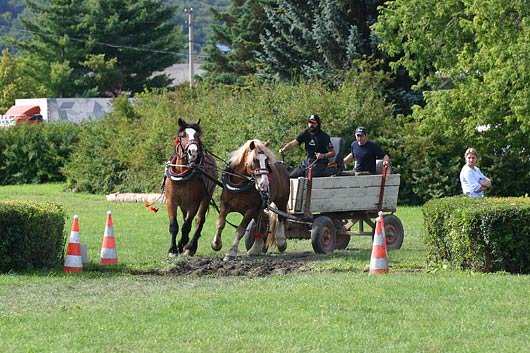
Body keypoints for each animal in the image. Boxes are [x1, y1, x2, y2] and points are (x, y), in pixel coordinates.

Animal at [164, 118, 216, 256]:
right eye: (183, 135)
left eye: (197, 135)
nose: (193, 152)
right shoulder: (171, 201)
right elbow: (174, 226)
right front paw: (173, 249)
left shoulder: (194, 203)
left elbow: (186, 226)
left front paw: (183, 244)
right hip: (183, 204)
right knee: (185, 218)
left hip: (205, 198)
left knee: (199, 220)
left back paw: (190, 246)